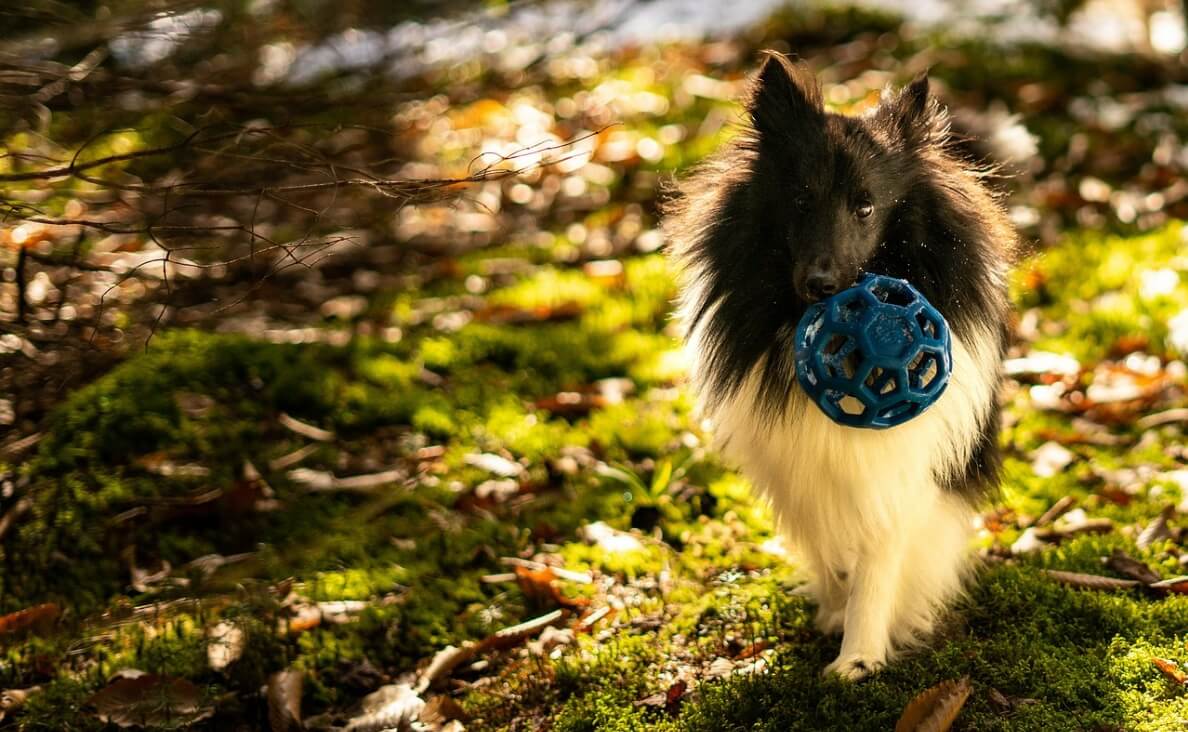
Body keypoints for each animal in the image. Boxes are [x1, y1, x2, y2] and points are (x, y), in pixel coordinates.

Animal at [665, 54, 1016, 684]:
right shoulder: (799, 464)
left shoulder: (901, 465)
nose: (821, 284)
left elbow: (880, 559)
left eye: (866, 205)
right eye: (802, 200)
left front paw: (859, 657)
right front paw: (833, 611)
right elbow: (823, 543)